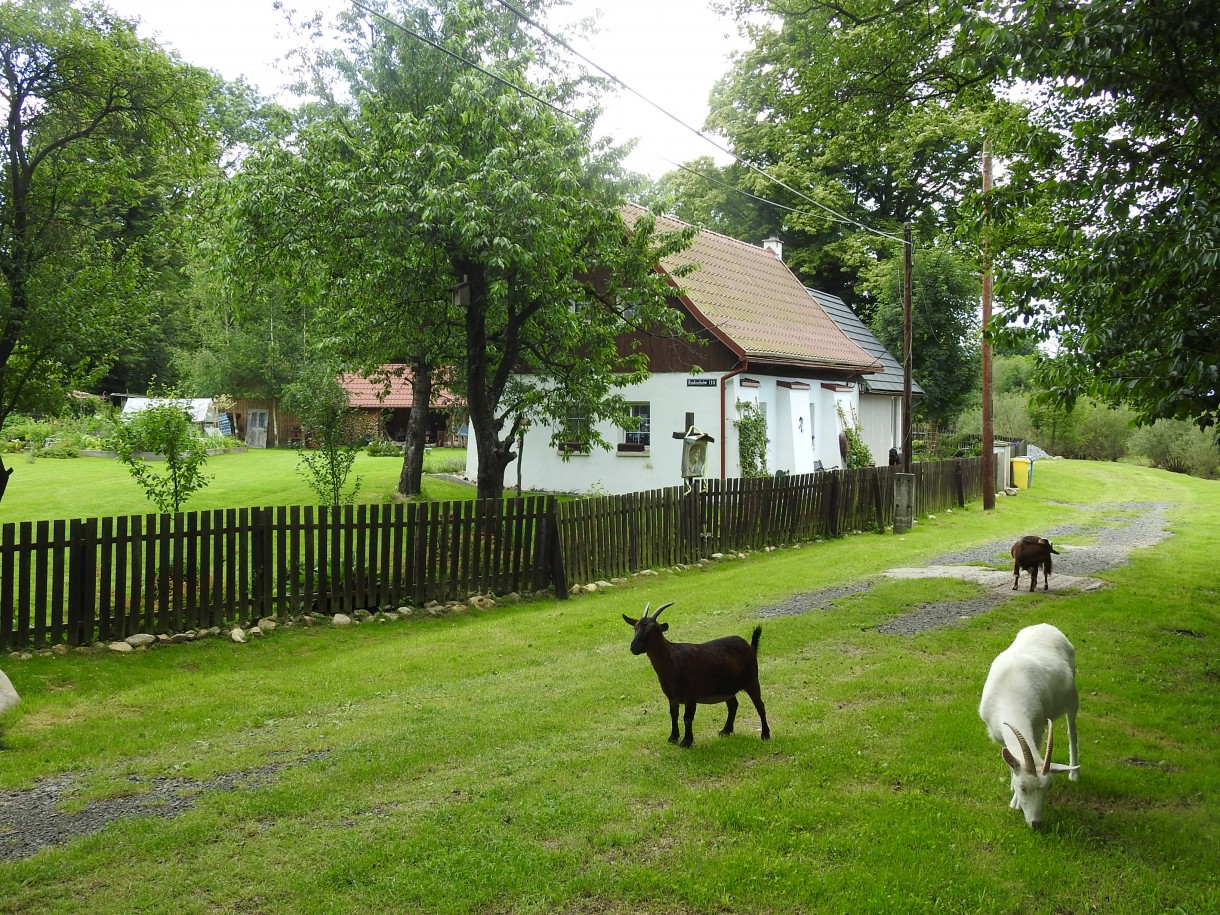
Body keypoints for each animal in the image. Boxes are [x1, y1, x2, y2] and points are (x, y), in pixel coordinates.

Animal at [624, 605, 766, 746]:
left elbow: (687, 718)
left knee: (760, 705)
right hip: (727, 687)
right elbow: (673, 715)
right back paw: (726, 730)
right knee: (733, 705)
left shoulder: (691, 695)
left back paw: (765, 734)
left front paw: (686, 741)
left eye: (654, 630)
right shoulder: (672, 697)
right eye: (635, 627)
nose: (633, 647)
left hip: (752, 679)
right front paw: (673, 738)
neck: (672, 661)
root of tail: (750, 647)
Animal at [976, 624, 1083, 829]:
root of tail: (1048, 626)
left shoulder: (1038, 729)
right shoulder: (999, 735)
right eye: (1023, 787)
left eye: (1049, 787)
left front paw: (1014, 803)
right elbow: (1011, 761)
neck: (1010, 694)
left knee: (1072, 732)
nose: (1036, 823)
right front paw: (1012, 786)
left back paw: (1074, 774)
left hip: (1073, 698)